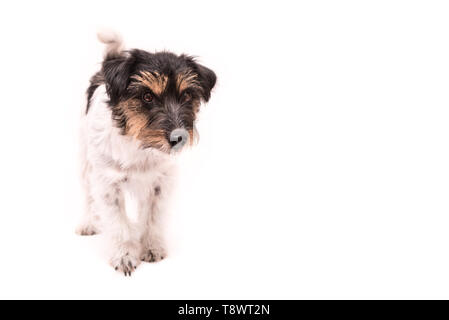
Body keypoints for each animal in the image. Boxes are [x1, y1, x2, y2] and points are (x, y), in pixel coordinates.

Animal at [76, 31, 215, 276]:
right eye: (147, 96)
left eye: (186, 96)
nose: (178, 137)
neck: (140, 146)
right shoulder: (107, 185)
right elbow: (118, 223)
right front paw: (124, 256)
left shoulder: (162, 184)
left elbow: (153, 217)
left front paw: (151, 248)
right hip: (86, 163)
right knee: (88, 195)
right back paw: (88, 223)